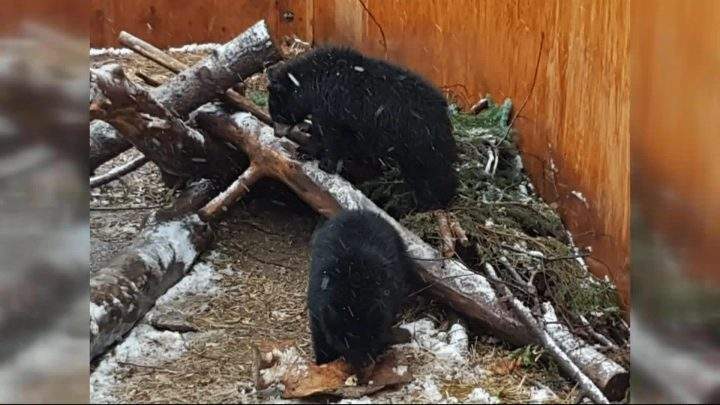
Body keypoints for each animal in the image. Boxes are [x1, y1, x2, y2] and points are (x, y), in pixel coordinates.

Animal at [267, 46, 458, 209]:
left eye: (277, 115)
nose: (276, 133)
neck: (315, 81)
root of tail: (444, 115)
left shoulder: (331, 105)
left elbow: (329, 135)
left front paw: (316, 158)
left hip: (418, 141)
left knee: (430, 174)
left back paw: (431, 202)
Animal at [307, 209, 414, 377]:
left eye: (370, 338)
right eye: (344, 342)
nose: (363, 364)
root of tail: (360, 211)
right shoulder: (318, 315)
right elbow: (321, 339)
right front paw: (322, 363)